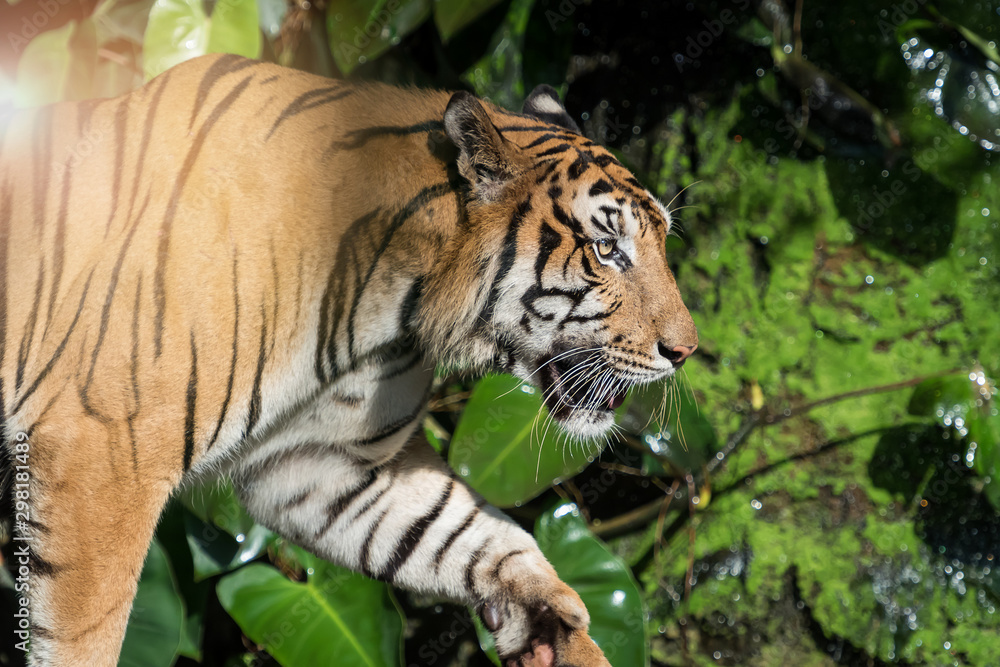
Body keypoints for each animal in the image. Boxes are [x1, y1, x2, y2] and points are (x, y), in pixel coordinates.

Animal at [0, 53, 698, 666]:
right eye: (607, 249)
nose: (686, 351)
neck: (394, 306)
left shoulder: (316, 463)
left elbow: (468, 531)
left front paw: (548, 620)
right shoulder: (103, 455)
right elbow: (87, 637)